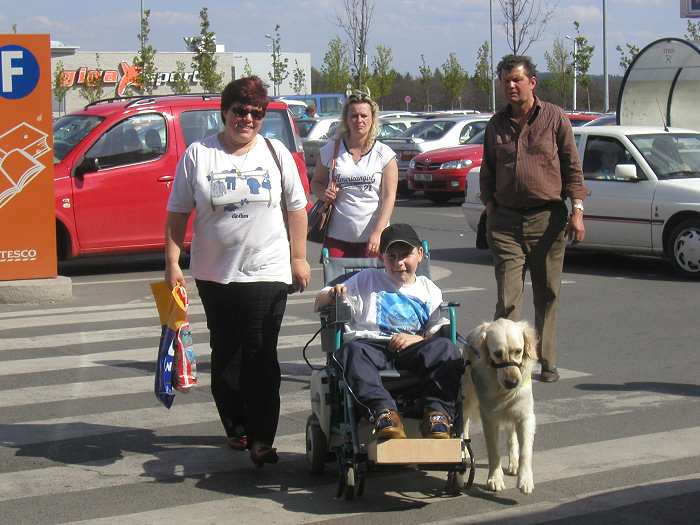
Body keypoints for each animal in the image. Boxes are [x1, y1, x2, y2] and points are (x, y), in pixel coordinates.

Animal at [462, 318, 540, 494]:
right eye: (497, 354)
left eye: (518, 351)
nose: (512, 382)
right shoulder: (489, 418)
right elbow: (493, 452)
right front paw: (495, 479)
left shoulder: (525, 416)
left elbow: (525, 452)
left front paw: (525, 479)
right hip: (466, 398)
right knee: (464, 424)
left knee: (511, 438)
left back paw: (514, 463)